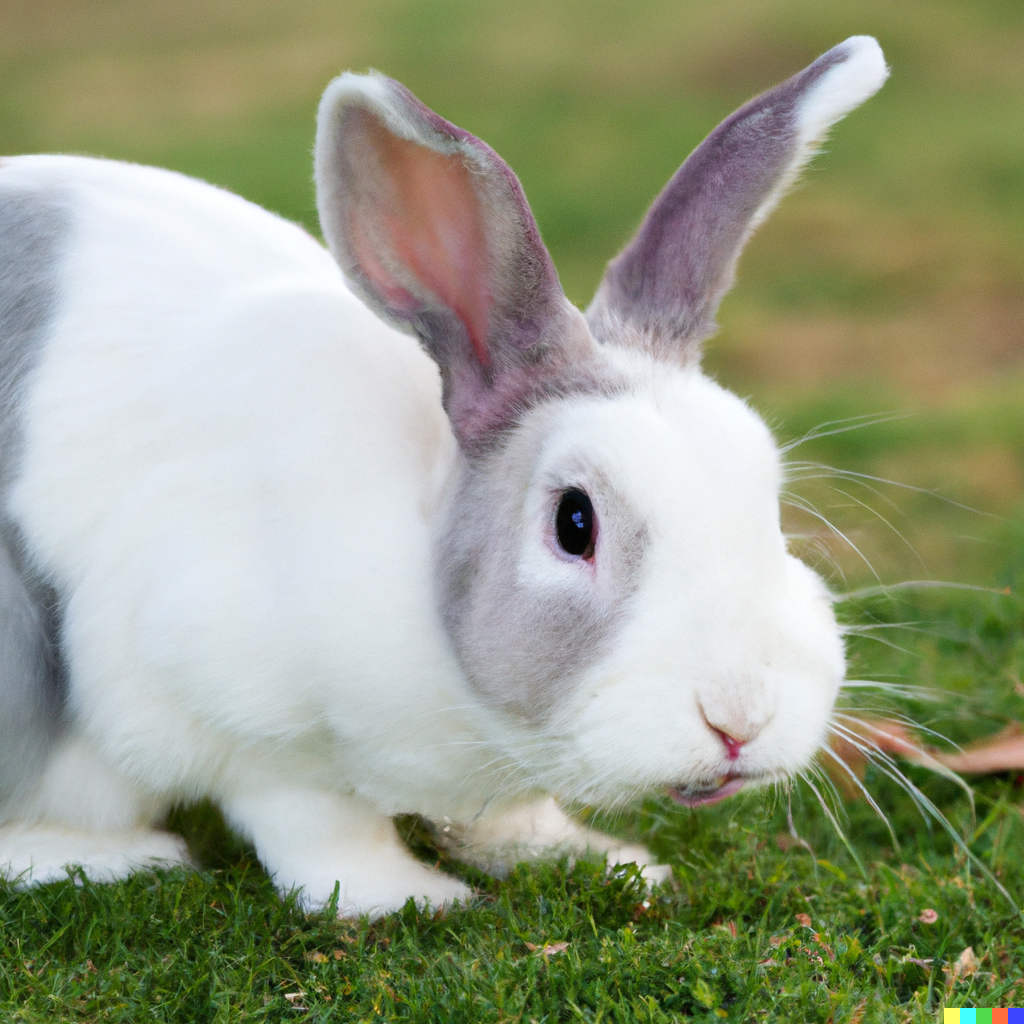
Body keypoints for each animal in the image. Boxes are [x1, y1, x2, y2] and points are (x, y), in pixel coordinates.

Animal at [0, 36, 884, 917]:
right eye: (574, 523)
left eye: (767, 503)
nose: (741, 720)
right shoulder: (233, 706)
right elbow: (318, 829)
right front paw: (410, 896)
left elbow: (514, 820)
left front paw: (605, 859)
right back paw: (117, 856)